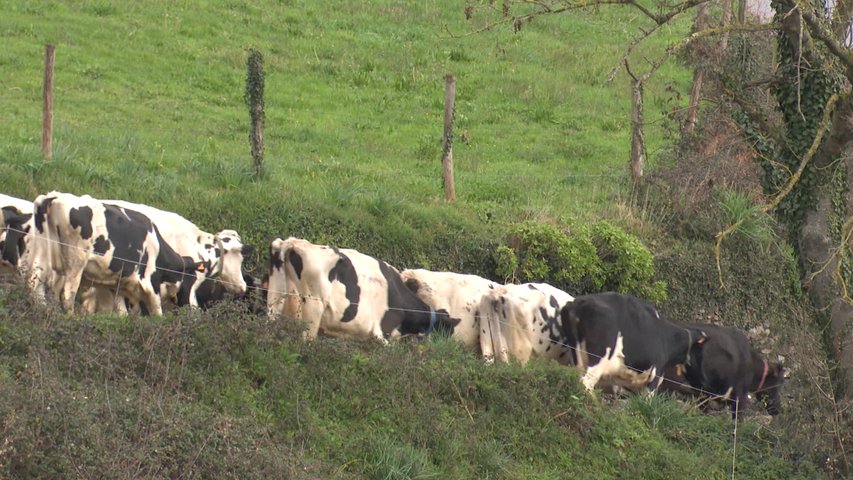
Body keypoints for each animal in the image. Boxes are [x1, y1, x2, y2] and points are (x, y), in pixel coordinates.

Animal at [27, 191, 201, 316]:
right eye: (189, 278)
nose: (191, 306)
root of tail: (53, 197)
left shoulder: (117, 283)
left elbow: (123, 311)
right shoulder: (150, 283)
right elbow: (156, 311)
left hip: (43, 256)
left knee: (36, 286)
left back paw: (47, 312)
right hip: (75, 262)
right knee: (67, 294)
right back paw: (70, 318)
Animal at [560, 292, 704, 394]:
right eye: (702, 352)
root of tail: (579, 302)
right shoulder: (653, 378)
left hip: (576, 356)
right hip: (599, 357)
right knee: (586, 383)